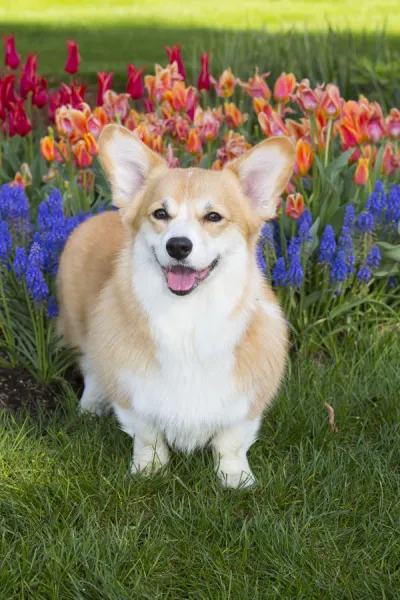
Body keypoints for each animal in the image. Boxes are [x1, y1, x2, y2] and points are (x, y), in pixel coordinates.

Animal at [57, 125, 294, 488]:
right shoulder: (134, 395)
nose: (178, 245)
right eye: (160, 214)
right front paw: (149, 470)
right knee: (92, 368)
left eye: (213, 216)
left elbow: (231, 442)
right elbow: (148, 436)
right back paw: (90, 406)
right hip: (81, 329)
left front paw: (235, 479)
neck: (187, 318)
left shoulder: (247, 402)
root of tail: (99, 216)